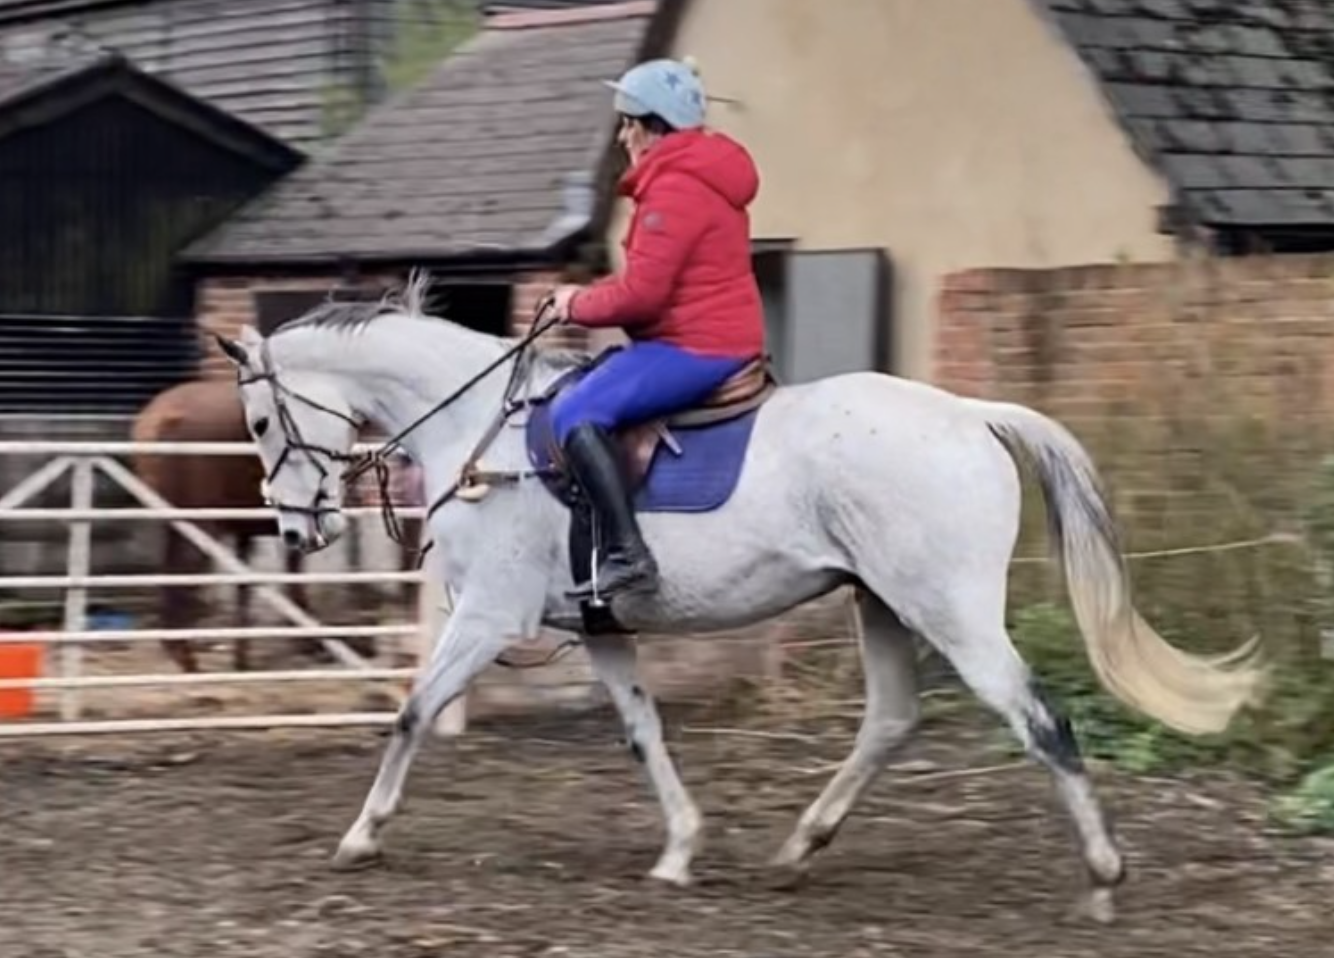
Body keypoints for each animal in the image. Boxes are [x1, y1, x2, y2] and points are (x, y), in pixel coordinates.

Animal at [212, 277, 1264, 922]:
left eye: (259, 420)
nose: (295, 532)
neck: (476, 427)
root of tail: (970, 414)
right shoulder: (596, 630)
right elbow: (644, 733)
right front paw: (681, 849)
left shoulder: (488, 619)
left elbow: (411, 714)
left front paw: (360, 836)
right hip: (881, 604)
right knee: (891, 720)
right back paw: (800, 846)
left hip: (950, 613)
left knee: (1039, 719)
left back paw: (1102, 878)